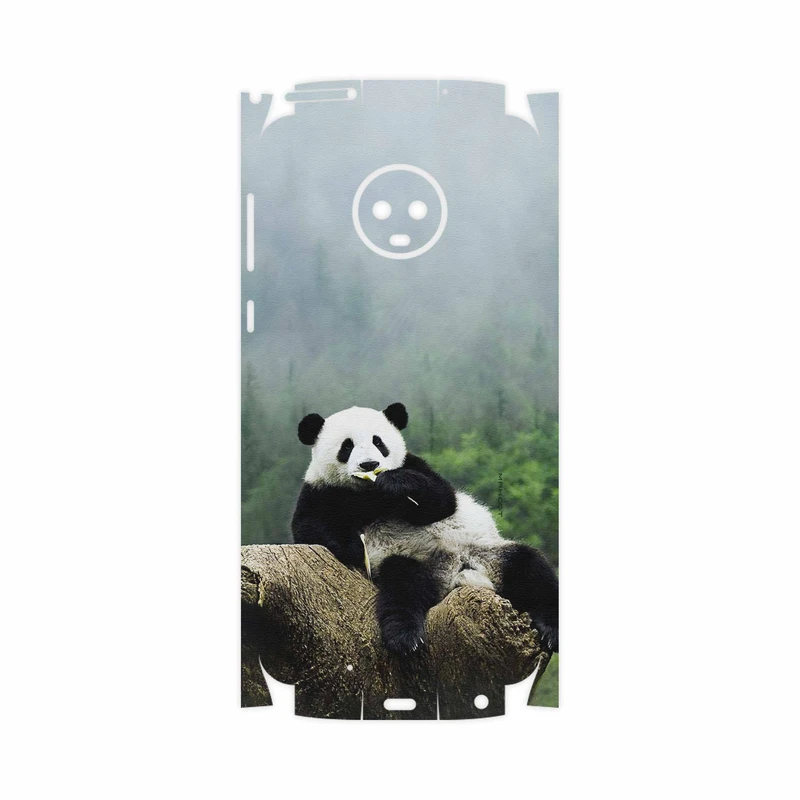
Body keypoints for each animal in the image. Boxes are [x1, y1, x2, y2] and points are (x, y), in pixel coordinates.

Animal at [292, 402, 559, 655]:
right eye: (347, 446)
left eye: (378, 442)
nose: (370, 464)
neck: (368, 494)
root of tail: (457, 574)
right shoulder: (321, 491)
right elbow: (309, 528)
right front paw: (356, 547)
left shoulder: (415, 465)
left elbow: (442, 500)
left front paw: (395, 483)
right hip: (412, 561)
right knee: (403, 587)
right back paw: (405, 637)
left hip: (489, 553)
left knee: (531, 569)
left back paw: (551, 630)